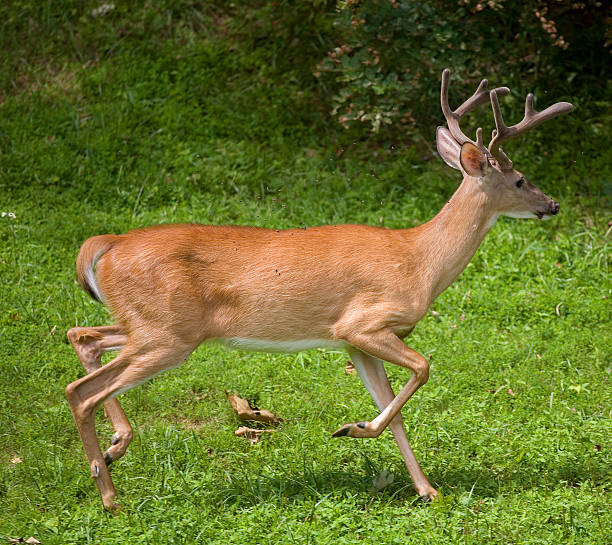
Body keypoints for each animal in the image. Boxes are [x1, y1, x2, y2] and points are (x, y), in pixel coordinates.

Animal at [65, 69, 572, 510]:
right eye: (520, 179)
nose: (552, 204)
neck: (420, 261)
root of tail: (109, 243)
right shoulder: (363, 323)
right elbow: (424, 369)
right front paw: (353, 429)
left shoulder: (355, 343)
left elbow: (395, 411)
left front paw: (426, 489)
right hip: (169, 334)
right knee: (81, 391)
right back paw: (108, 494)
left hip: (149, 324)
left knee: (81, 336)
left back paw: (114, 448)